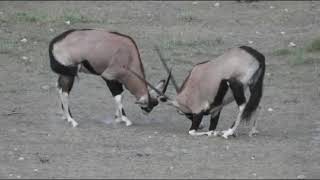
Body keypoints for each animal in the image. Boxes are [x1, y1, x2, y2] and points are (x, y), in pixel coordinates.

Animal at [132, 45, 264, 139]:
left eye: (185, 113)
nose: (201, 126)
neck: (188, 95)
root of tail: (256, 55)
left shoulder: (198, 111)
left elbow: (191, 131)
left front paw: (210, 133)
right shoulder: (216, 110)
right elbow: (212, 128)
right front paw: (213, 132)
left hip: (236, 85)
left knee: (243, 105)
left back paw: (228, 132)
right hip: (253, 85)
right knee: (256, 104)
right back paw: (252, 131)